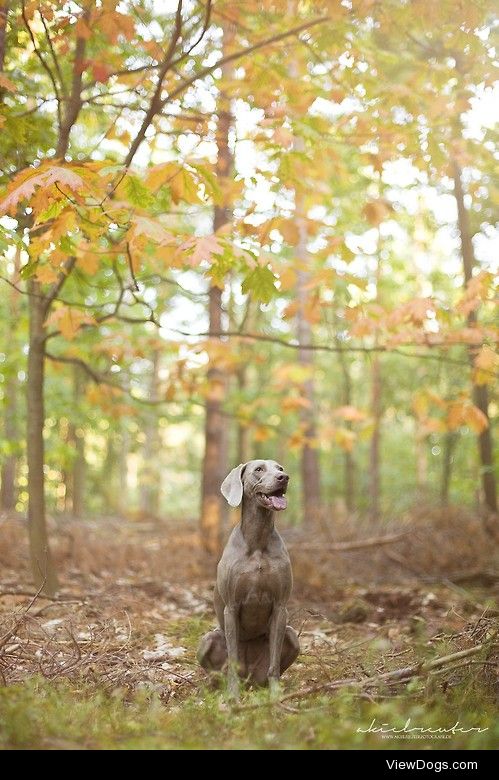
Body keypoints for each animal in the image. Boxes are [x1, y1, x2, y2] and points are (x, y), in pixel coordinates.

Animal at [196, 460, 298, 696]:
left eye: (280, 468)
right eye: (259, 469)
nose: (284, 477)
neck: (258, 541)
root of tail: (249, 680)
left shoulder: (280, 607)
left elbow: (274, 665)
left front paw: (276, 697)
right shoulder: (231, 608)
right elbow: (233, 658)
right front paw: (233, 697)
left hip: (292, 637)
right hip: (207, 640)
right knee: (218, 672)